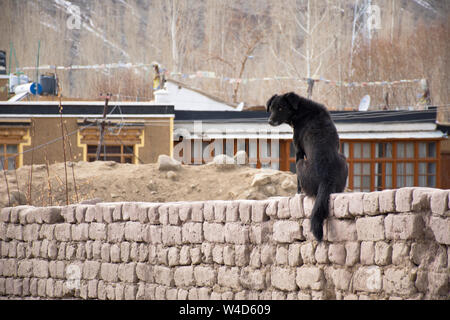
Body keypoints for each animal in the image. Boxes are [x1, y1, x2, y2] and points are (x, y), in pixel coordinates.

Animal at [268, 91, 348, 241]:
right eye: (272, 108)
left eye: (281, 108)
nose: (269, 121)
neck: (301, 110)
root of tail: (327, 179)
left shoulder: (298, 151)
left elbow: (298, 182)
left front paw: (298, 193)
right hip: (343, 159)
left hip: (300, 165)